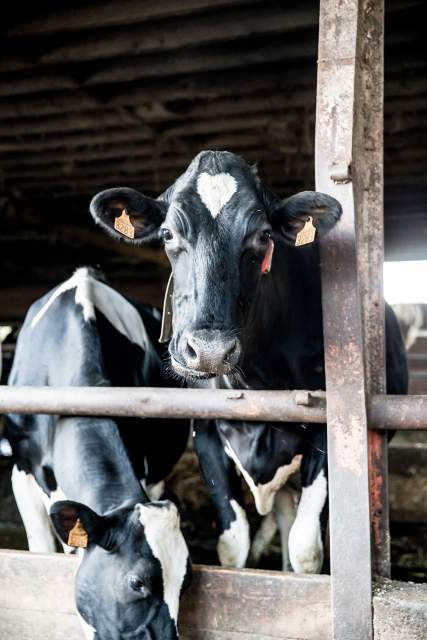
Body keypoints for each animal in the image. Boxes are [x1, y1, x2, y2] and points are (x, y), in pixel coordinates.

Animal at [89, 151, 408, 576]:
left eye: (263, 236)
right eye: (168, 234)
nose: (209, 350)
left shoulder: (327, 434)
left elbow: (307, 548)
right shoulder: (206, 432)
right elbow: (233, 544)